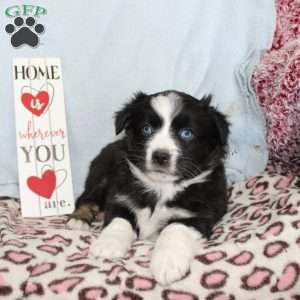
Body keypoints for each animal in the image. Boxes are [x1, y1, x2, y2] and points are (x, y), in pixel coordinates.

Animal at [67, 90, 230, 284]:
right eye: (147, 129)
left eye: (186, 133)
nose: (160, 156)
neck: (161, 187)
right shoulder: (120, 195)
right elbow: (119, 220)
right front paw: (108, 244)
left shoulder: (199, 214)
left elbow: (173, 229)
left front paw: (167, 263)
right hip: (100, 174)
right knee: (87, 198)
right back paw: (79, 219)